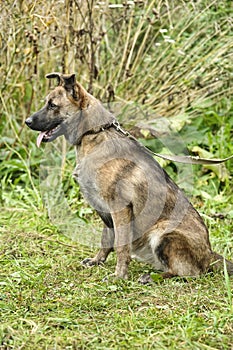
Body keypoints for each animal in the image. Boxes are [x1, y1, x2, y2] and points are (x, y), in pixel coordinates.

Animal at [25, 74, 233, 282]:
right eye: (46, 102)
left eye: (52, 105)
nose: (27, 121)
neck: (94, 133)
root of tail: (209, 254)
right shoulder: (106, 212)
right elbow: (106, 239)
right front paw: (97, 261)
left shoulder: (119, 208)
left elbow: (121, 245)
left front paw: (119, 275)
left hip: (163, 232)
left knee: (187, 273)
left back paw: (152, 277)